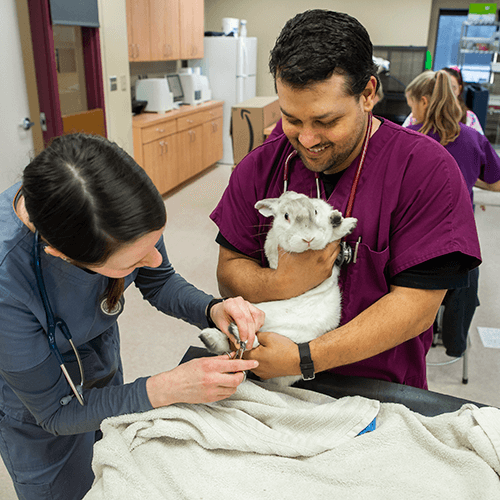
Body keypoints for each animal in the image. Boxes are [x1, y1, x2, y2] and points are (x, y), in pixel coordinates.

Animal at [197, 189, 358, 388]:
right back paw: (218, 335)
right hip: (256, 313)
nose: (308, 238)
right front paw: (343, 223)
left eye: (315, 211)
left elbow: (331, 233)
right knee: (243, 340)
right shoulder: (274, 245)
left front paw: (340, 220)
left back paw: (214, 337)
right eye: (286, 216)